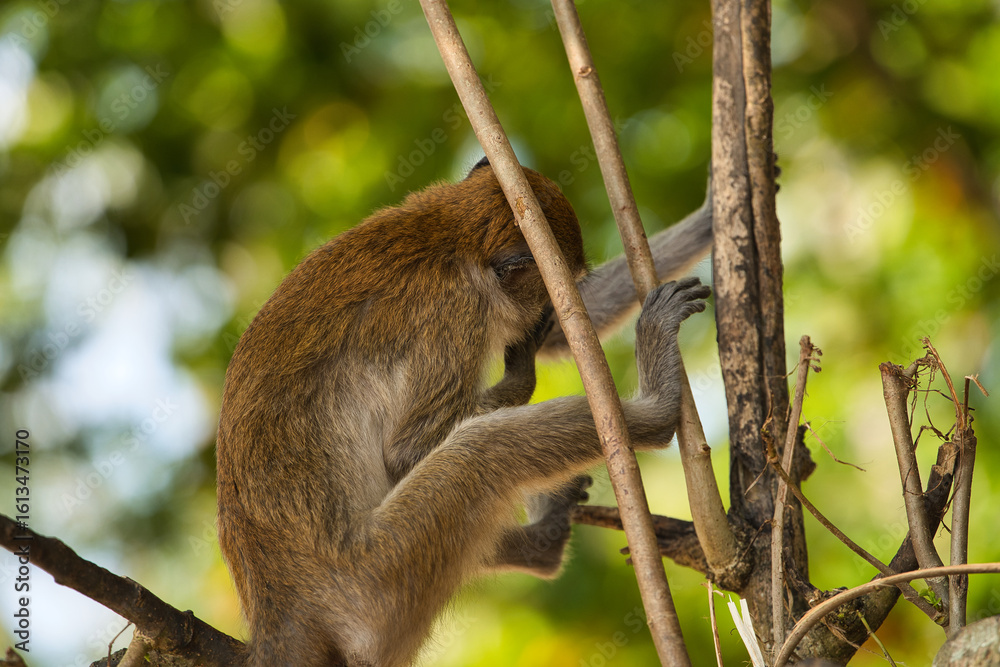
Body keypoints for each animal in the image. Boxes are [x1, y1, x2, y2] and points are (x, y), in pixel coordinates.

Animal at [216, 157, 713, 666]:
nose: (547, 308)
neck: (444, 233)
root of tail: (280, 613)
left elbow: (565, 331)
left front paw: (711, 215)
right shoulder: (457, 306)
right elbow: (407, 453)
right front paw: (523, 374)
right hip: (374, 579)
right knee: (481, 447)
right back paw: (655, 411)